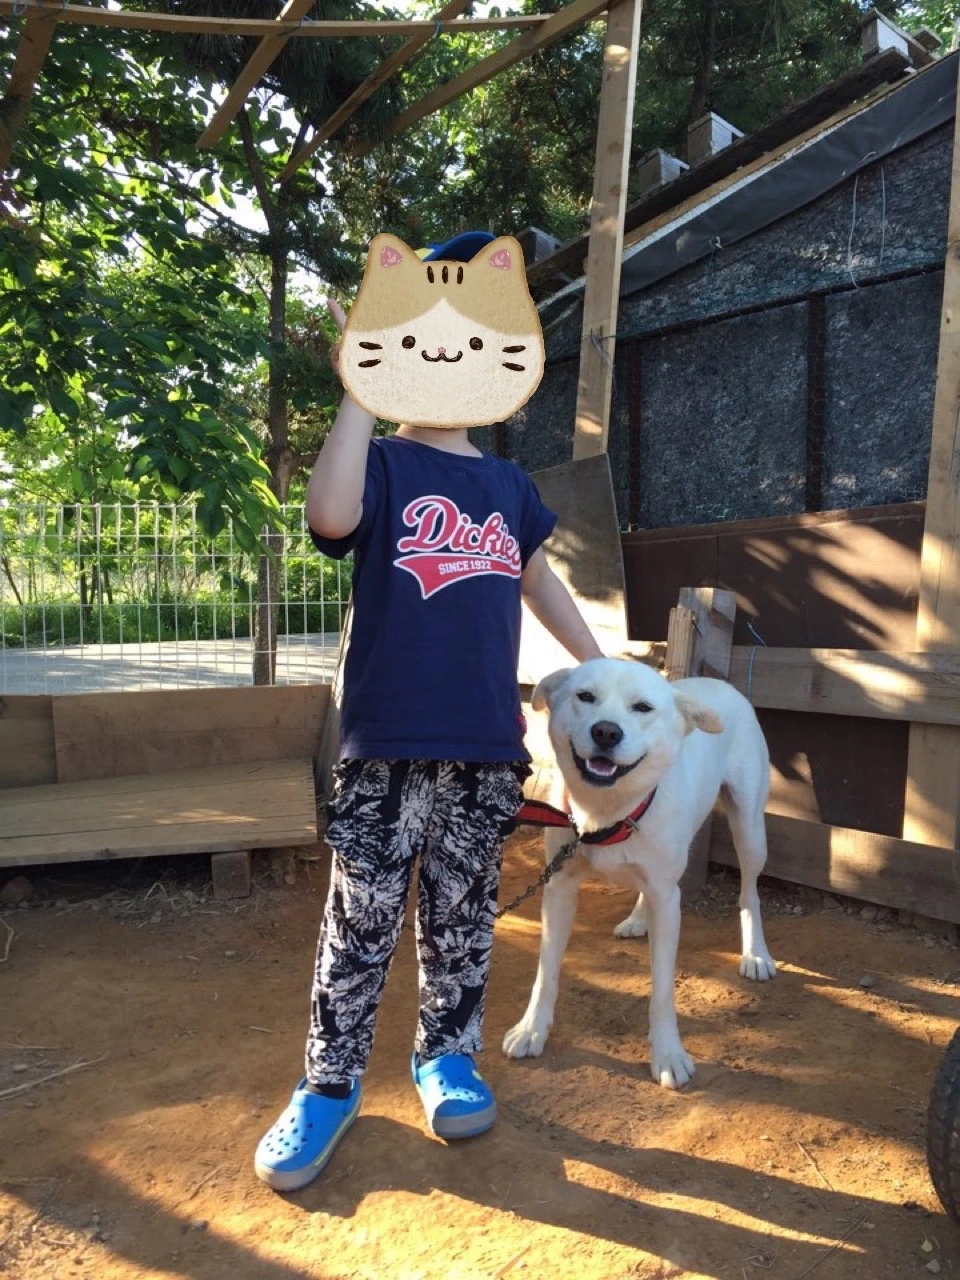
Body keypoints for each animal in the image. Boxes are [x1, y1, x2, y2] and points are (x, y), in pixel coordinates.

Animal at [502, 657, 776, 1089]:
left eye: (643, 708)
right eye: (585, 696)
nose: (606, 731)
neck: (605, 812)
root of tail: (721, 683)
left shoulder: (668, 900)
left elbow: (662, 988)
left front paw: (668, 1054)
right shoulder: (559, 887)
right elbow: (546, 970)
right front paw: (532, 1028)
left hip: (749, 831)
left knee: (749, 892)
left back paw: (755, 954)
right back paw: (636, 919)